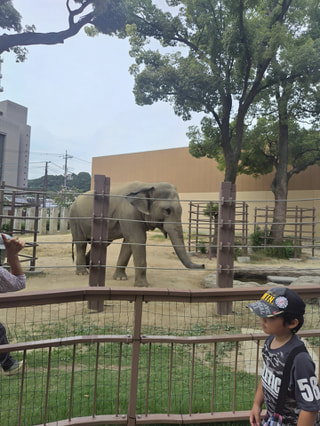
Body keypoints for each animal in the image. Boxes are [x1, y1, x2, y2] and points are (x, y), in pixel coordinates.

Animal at [69, 181, 205, 288]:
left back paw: (90, 268)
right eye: (167, 211)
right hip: (75, 219)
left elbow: (129, 242)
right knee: (81, 243)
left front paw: (120, 278)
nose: (203, 265)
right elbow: (137, 239)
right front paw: (143, 286)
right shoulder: (129, 213)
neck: (147, 185)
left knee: (102, 242)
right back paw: (82, 272)